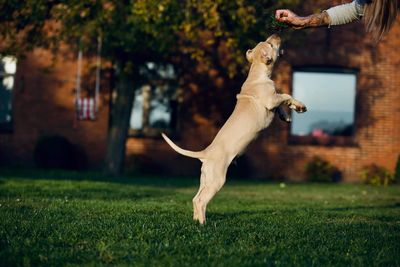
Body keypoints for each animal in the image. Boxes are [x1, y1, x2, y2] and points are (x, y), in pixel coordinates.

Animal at [162, 34, 306, 225]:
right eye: (270, 44)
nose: (276, 34)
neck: (257, 72)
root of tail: (205, 153)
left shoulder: (273, 102)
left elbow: (282, 103)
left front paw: (287, 115)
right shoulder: (271, 99)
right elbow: (285, 95)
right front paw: (300, 106)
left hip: (206, 178)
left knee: (195, 198)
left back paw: (196, 220)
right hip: (217, 179)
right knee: (201, 200)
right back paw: (203, 224)